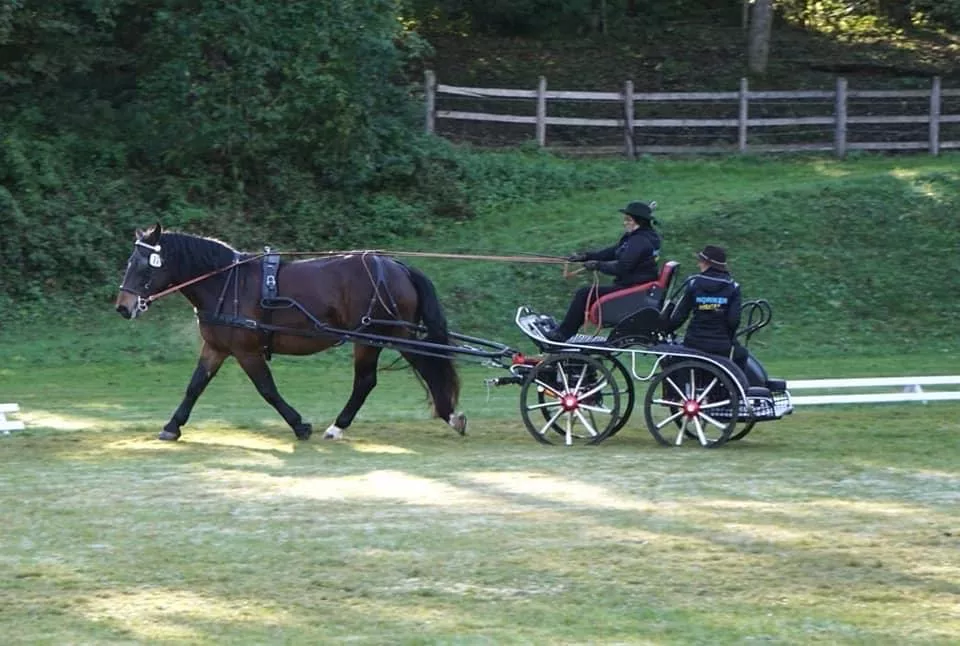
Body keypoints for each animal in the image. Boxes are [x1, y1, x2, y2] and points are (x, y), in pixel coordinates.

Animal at [114, 225, 466, 442]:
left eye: (143, 265)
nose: (122, 307)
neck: (226, 283)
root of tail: (398, 267)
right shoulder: (216, 347)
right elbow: (195, 386)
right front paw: (172, 426)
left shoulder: (246, 351)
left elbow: (267, 389)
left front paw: (299, 425)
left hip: (380, 336)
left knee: (393, 374)